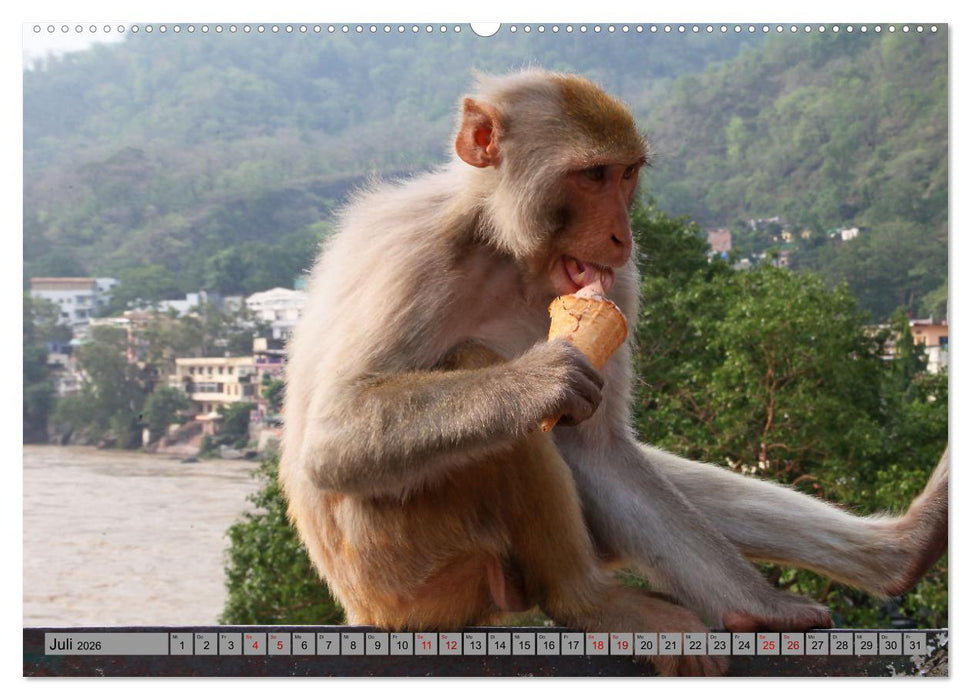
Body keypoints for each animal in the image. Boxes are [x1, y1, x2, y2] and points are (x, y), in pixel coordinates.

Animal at [279, 70, 948, 676]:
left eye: (627, 175)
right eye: (592, 175)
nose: (623, 235)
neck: (504, 248)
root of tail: (368, 612)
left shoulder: (617, 286)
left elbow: (600, 452)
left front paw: (765, 606)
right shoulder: (416, 257)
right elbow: (333, 437)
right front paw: (540, 380)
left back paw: (898, 551)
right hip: (406, 566)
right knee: (484, 390)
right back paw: (590, 603)